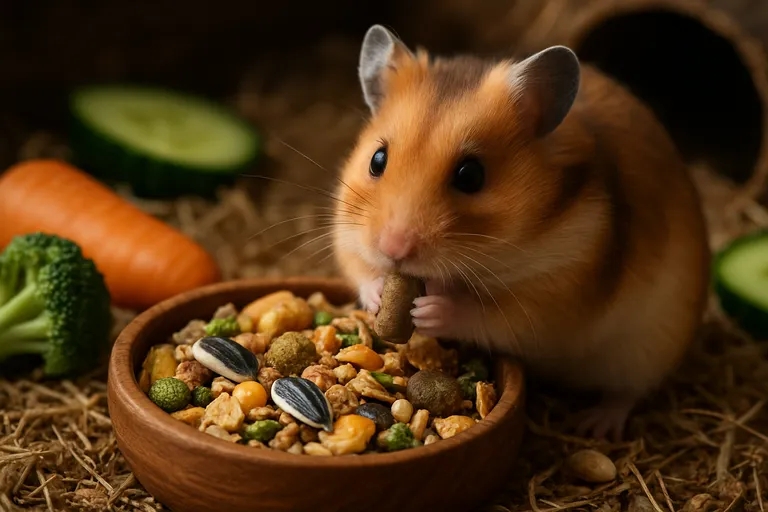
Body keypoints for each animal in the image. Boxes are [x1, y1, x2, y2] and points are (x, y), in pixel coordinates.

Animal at [332, 25, 711, 441]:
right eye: (377, 159)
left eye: (471, 175)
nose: (393, 248)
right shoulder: (347, 232)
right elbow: (360, 269)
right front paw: (379, 296)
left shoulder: (555, 292)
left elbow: (487, 312)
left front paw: (428, 308)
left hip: (649, 347)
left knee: (626, 392)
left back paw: (594, 426)